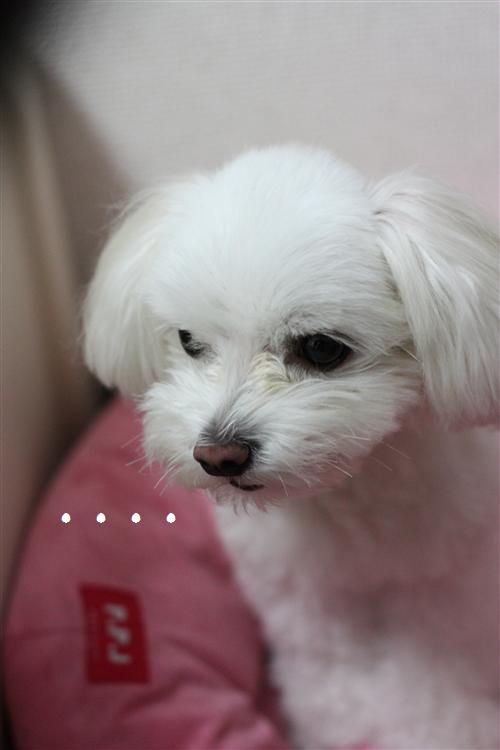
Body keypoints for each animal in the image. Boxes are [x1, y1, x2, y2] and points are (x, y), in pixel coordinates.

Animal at [83, 145, 499, 749]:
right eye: (188, 341)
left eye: (322, 348)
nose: (219, 455)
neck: (347, 495)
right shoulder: (300, 602)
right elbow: (328, 685)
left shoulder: (437, 588)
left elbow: (427, 689)